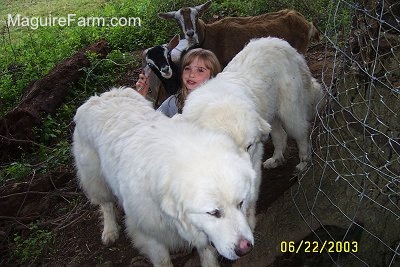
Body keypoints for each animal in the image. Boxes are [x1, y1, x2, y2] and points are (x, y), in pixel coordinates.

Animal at [72, 88, 256, 267]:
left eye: (241, 203)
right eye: (213, 213)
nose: (245, 249)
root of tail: (101, 96)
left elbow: (208, 255)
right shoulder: (150, 235)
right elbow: (163, 261)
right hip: (95, 178)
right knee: (106, 204)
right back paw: (110, 231)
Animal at [183, 37, 324, 230]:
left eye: (249, 146)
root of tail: (282, 43)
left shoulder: (255, 156)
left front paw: (247, 224)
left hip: (289, 114)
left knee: (301, 133)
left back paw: (304, 162)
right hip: (271, 117)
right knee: (280, 137)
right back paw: (276, 159)